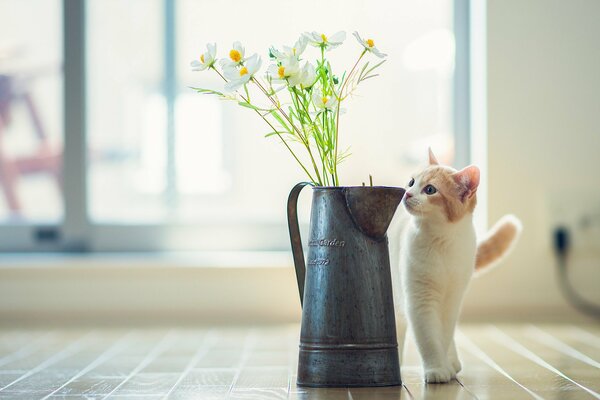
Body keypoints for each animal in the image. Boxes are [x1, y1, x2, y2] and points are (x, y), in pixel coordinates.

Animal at [392, 148, 524, 382]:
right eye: (411, 182)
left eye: (430, 189)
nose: (407, 194)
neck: (441, 243)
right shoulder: (420, 301)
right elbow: (429, 338)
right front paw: (436, 369)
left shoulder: (452, 299)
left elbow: (443, 335)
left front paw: (443, 365)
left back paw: (452, 362)